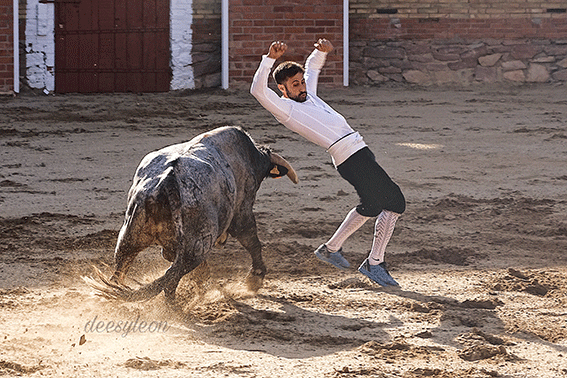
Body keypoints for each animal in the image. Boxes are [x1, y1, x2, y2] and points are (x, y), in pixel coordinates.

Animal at [90, 127, 298, 304]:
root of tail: (168, 180)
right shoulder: (242, 211)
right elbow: (251, 241)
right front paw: (255, 279)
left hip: (130, 235)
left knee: (122, 269)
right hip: (195, 247)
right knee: (172, 276)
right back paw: (175, 309)